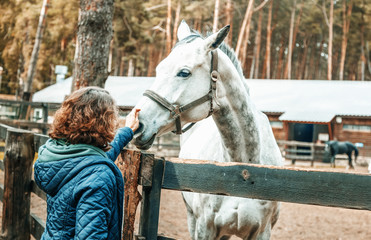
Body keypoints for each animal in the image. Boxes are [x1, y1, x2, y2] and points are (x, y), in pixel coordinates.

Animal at [135, 21, 284, 239]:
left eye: (184, 72)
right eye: (159, 68)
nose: (137, 124)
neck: (244, 171)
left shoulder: (262, 232)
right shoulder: (205, 227)